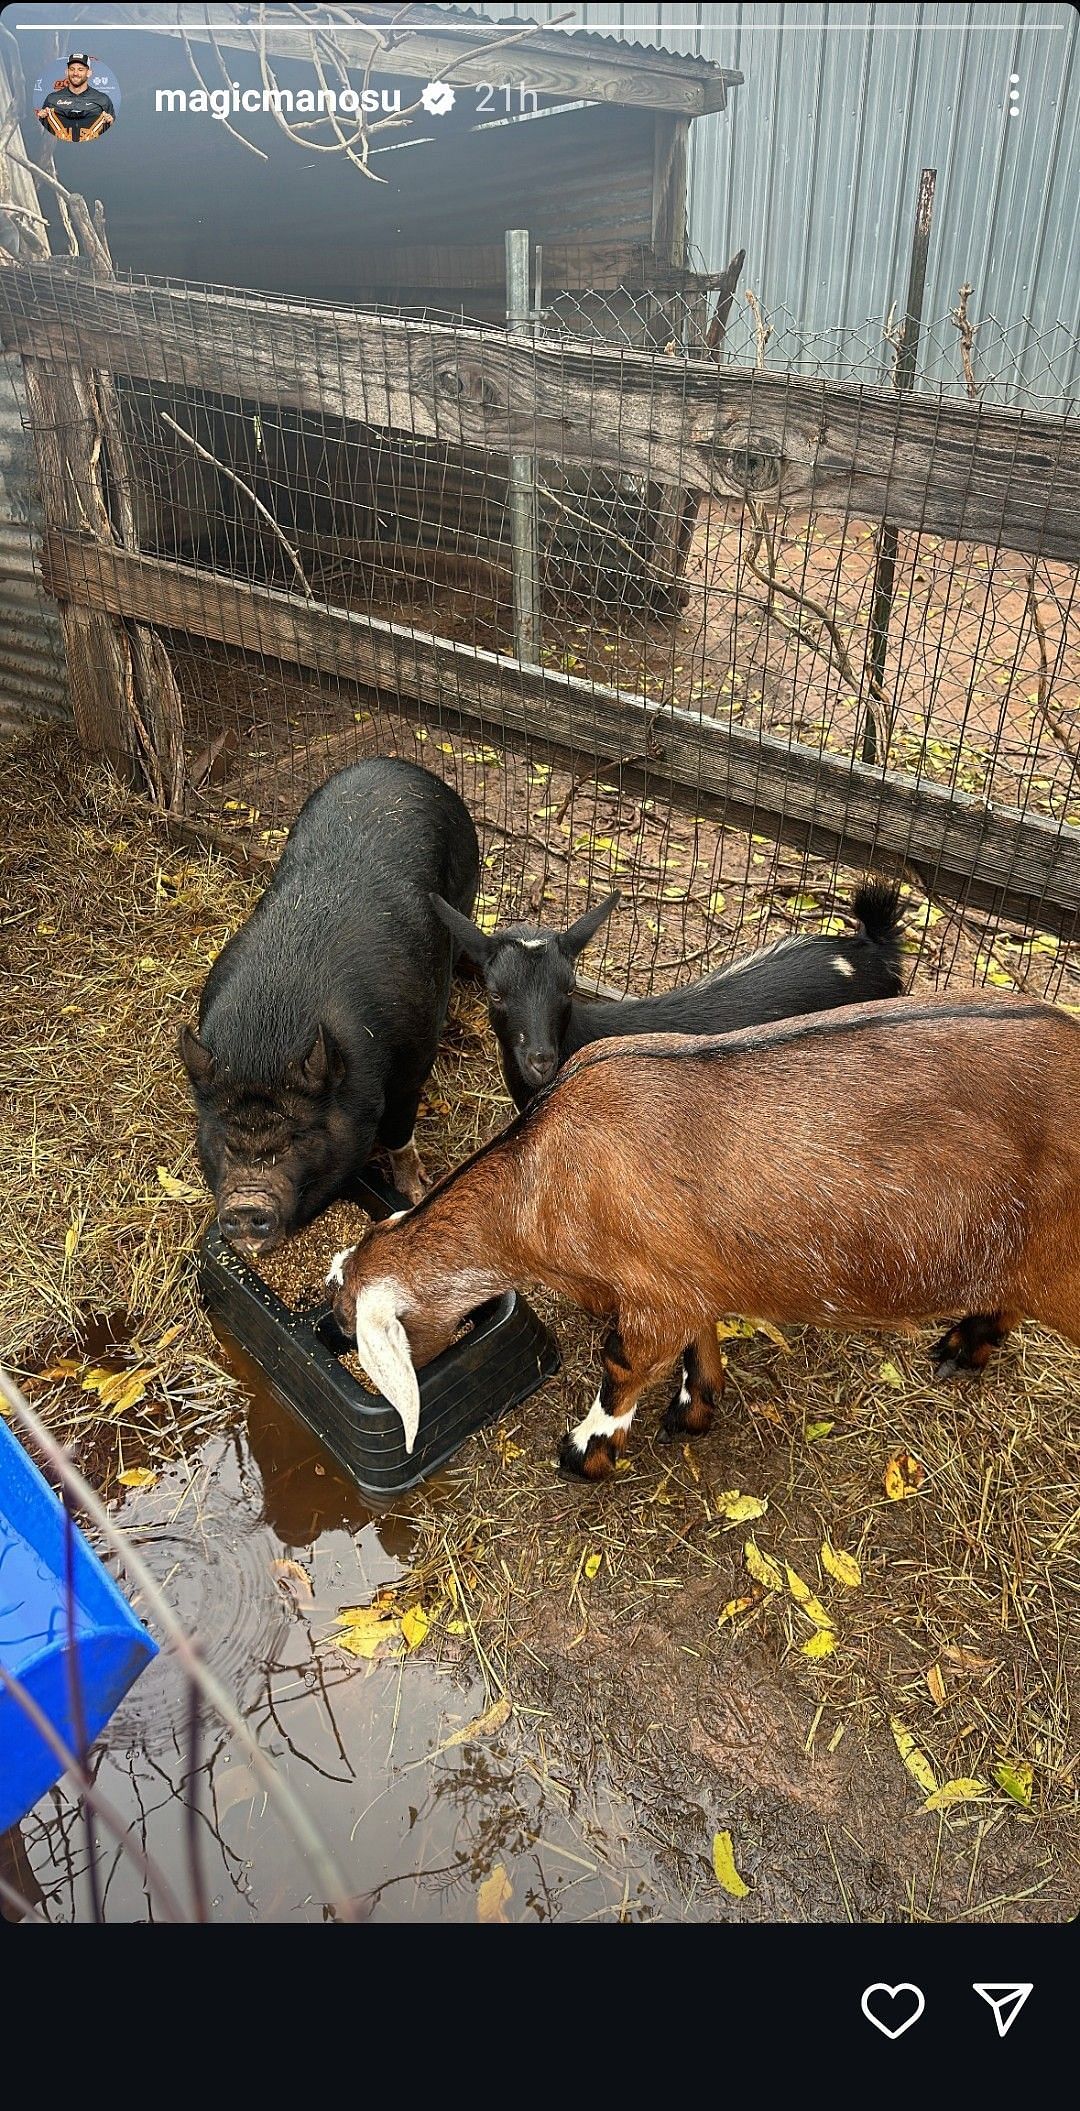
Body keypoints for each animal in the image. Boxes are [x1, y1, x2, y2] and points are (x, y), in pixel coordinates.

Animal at [180, 759, 476, 1249]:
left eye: (298, 1135)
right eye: (225, 1138)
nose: (245, 1207)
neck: (268, 1031)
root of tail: (399, 763)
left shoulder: (413, 1062)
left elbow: (399, 1127)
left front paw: (416, 1190)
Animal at [329, 992, 1080, 1477]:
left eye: (350, 1320)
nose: (326, 1332)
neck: (538, 1177)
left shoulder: (650, 1296)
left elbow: (620, 1365)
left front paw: (586, 1450)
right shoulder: (685, 1275)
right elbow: (698, 1341)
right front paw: (694, 1408)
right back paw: (966, 1343)